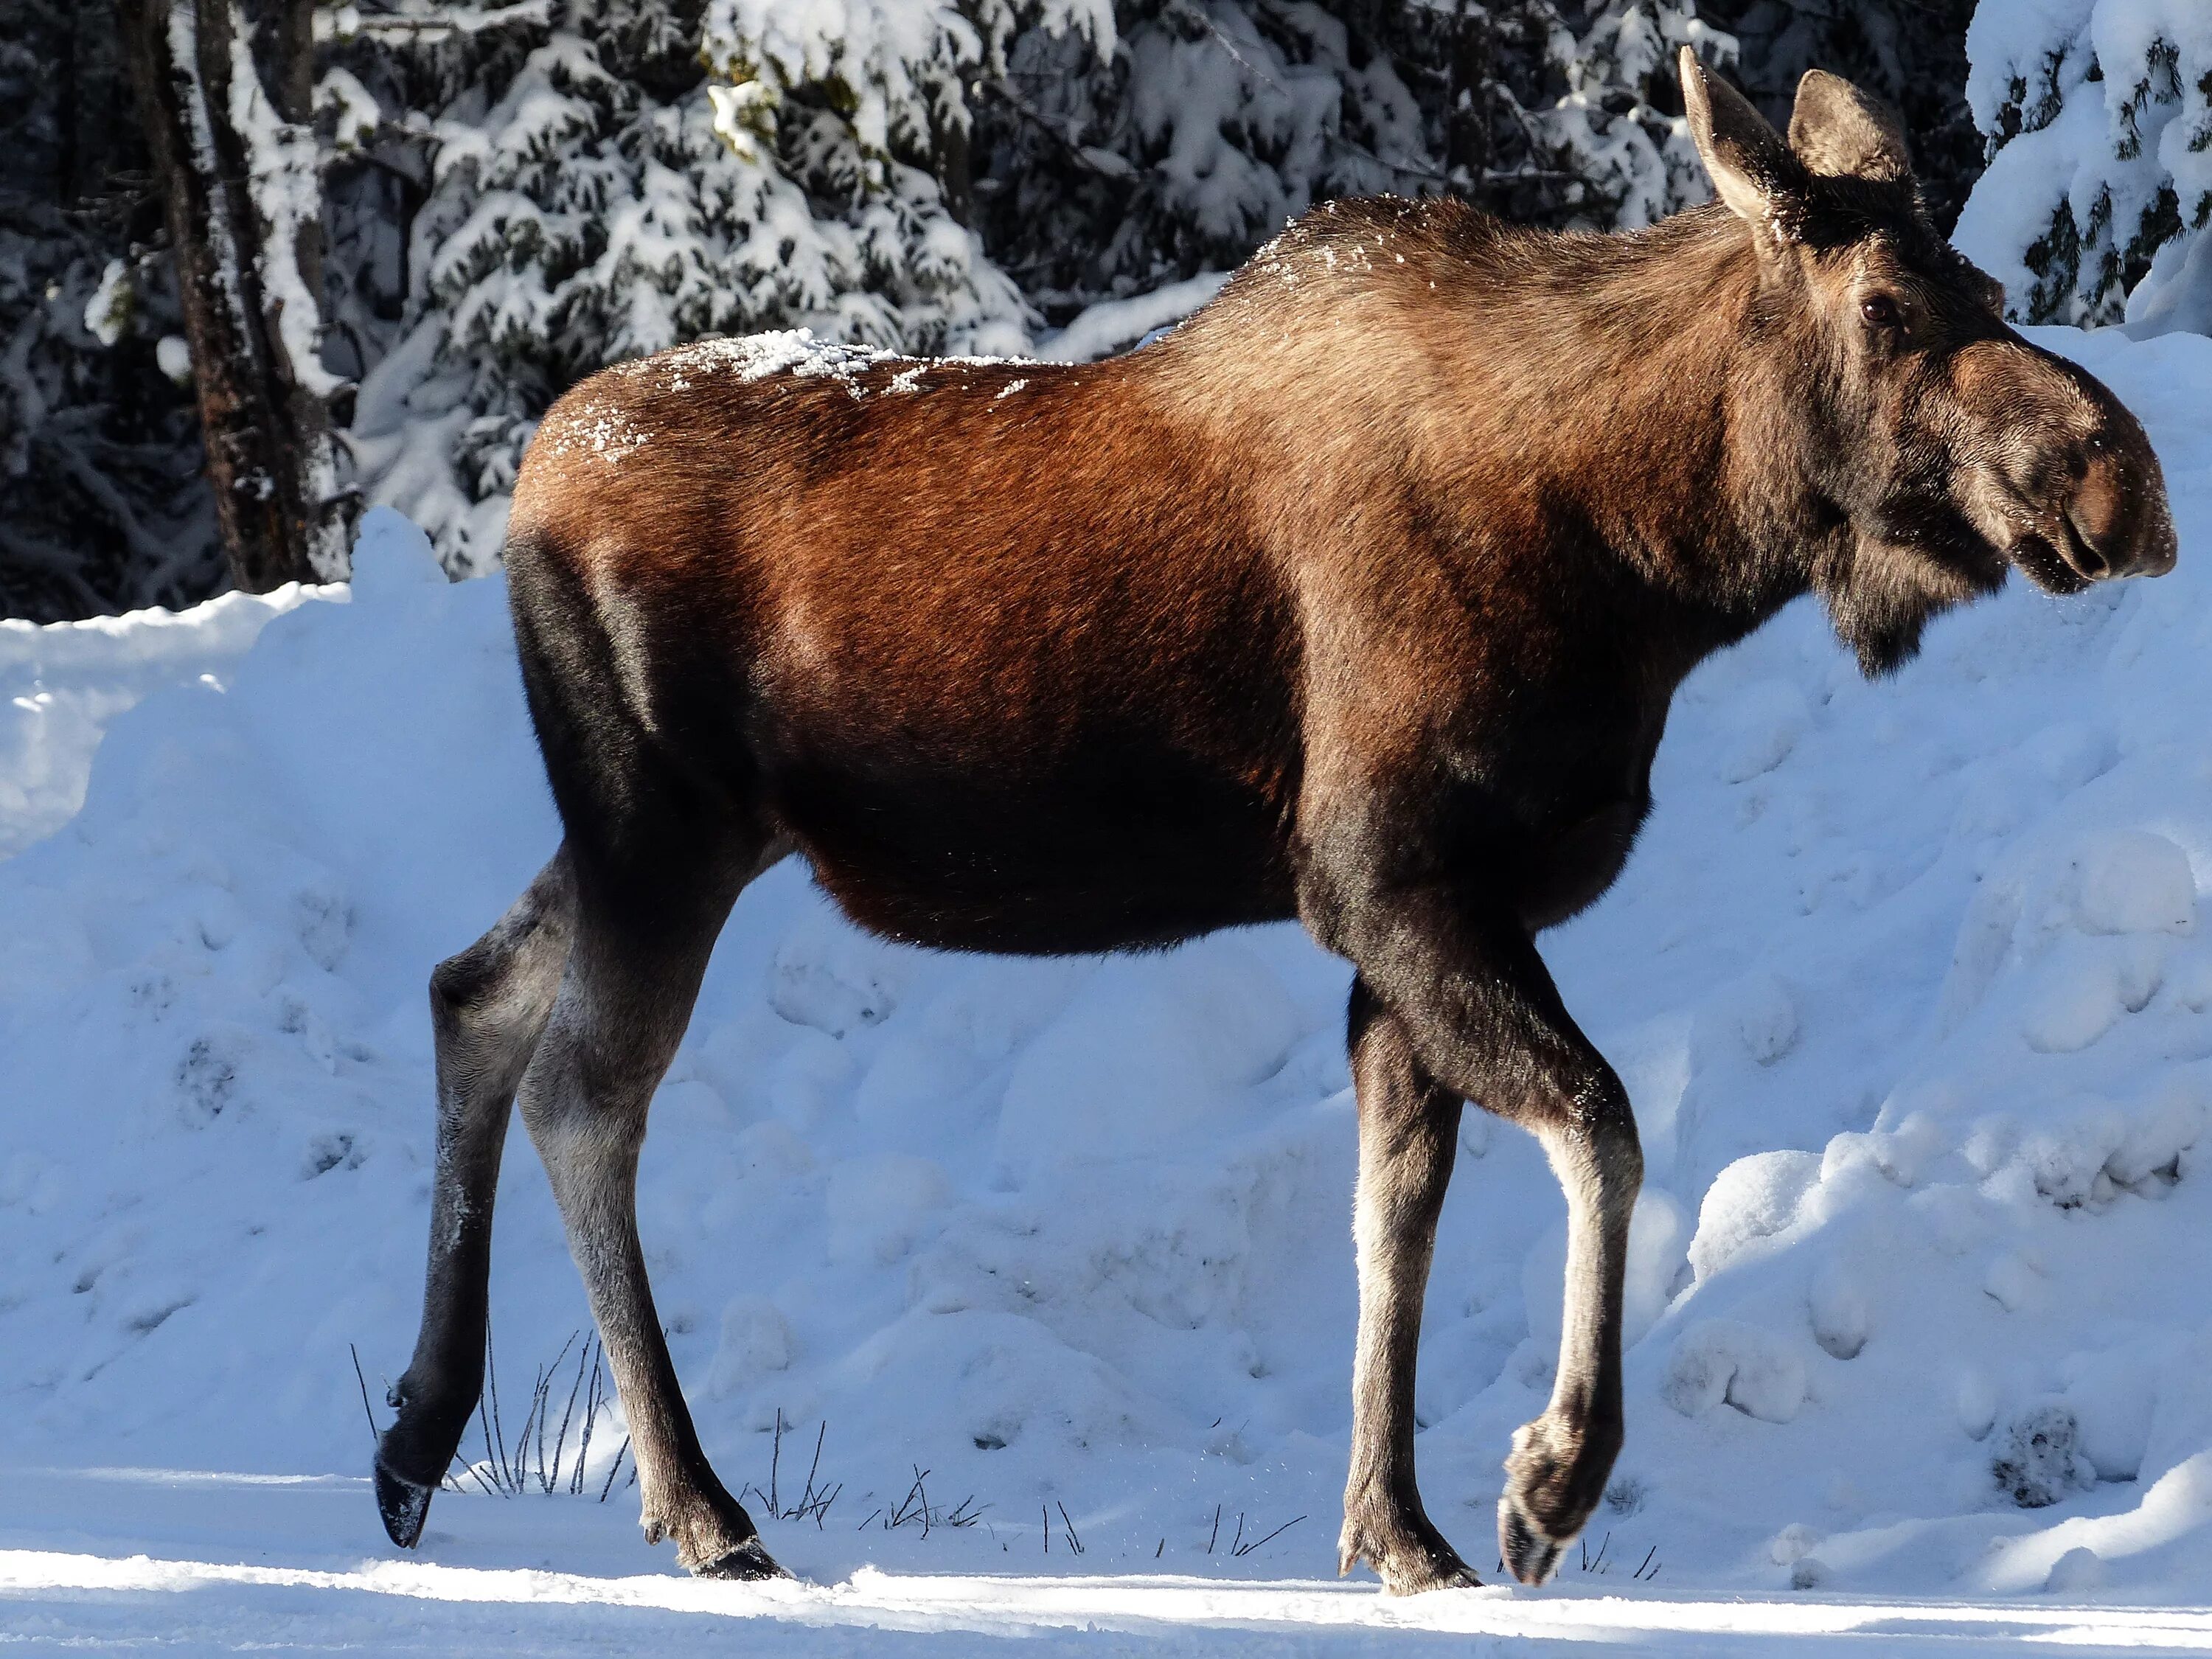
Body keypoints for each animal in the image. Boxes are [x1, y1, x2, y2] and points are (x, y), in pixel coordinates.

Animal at [372, 58, 2168, 1601]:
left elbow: (1397, 1216)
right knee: (585, 1096)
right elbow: (1601, 1125)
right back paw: (699, 1507)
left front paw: (1400, 1526)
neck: (1649, 562)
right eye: (1887, 307)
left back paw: (413, 1443)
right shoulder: (1391, 878)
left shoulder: (1425, 925)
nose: (2121, 486)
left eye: (1993, 285)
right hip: (657, 826)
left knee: (473, 986)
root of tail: (530, 481)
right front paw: (1547, 1483)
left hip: (667, 836)